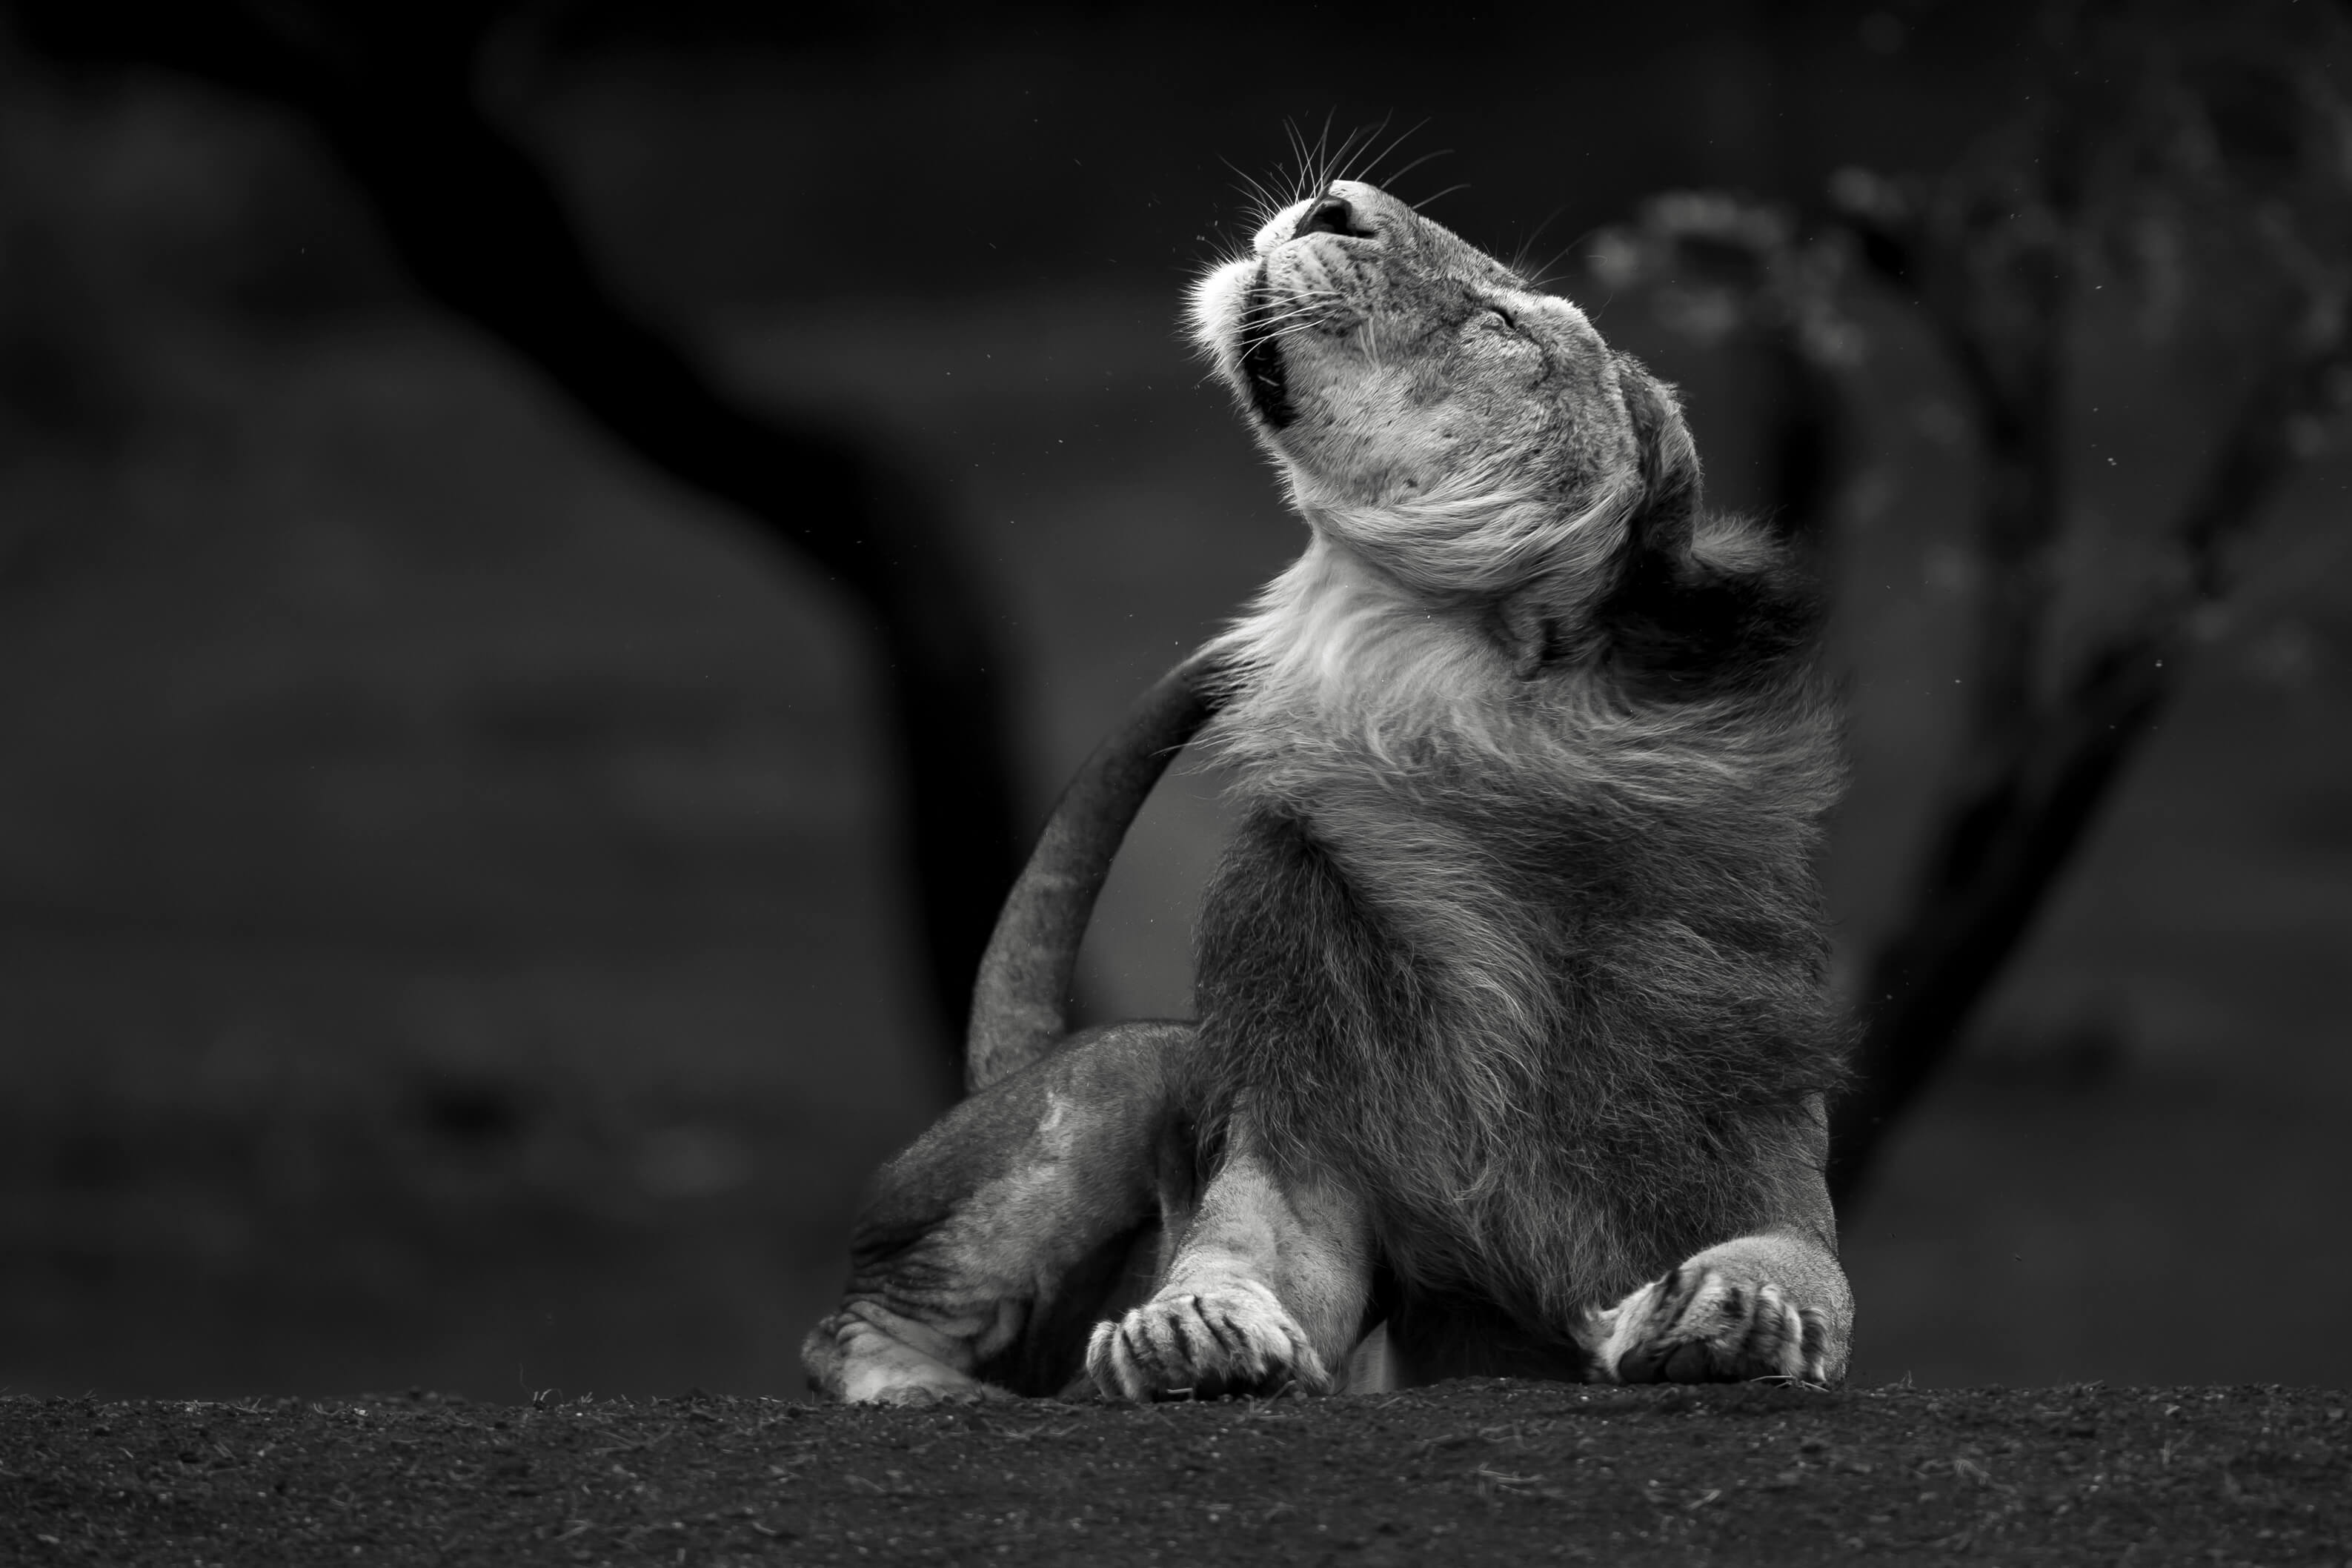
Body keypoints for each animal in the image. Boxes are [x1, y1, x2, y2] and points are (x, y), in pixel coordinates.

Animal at [801, 178, 1853, 1404]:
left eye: (1505, 329)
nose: (1331, 204)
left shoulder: (1760, 1143)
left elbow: (1795, 1260)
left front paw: (1736, 1312)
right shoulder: (1300, 1140)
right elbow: (1245, 1251)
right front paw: (1189, 1329)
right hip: (1102, 1092)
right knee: (855, 1324)